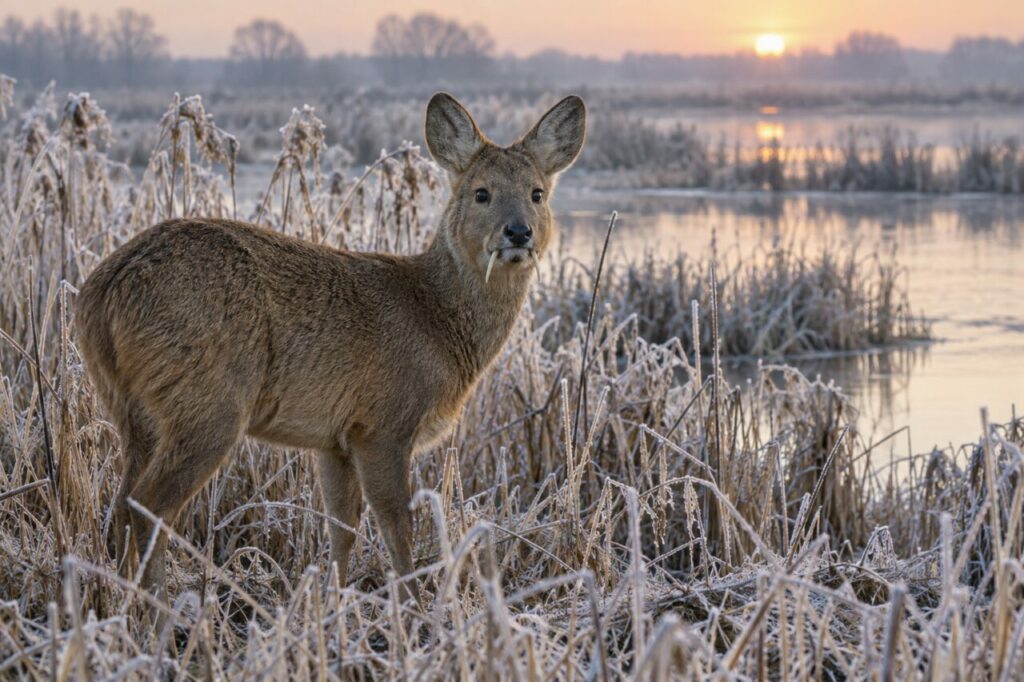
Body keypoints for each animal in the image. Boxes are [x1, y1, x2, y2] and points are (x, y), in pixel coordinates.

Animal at [76, 92, 586, 602]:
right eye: (481, 192)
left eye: (537, 193)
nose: (518, 232)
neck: (436, 319)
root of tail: (101, 293)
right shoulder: (384, 423)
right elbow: (397, 526)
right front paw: (413, 607)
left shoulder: (335, 439)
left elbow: (342, 527)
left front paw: (332, 601)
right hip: (206, 402)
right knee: (146, 505)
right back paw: (160, 608)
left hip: (133, 411)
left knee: (120, 504)